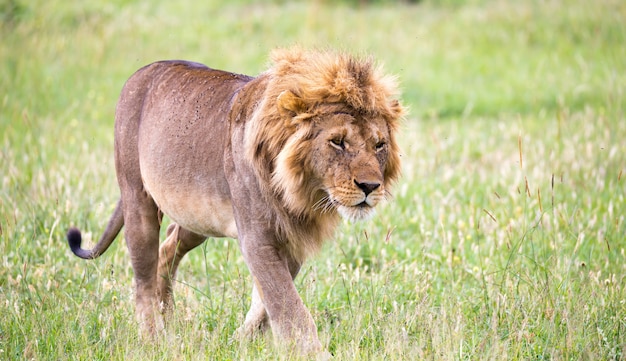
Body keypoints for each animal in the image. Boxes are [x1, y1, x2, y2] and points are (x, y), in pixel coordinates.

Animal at [66, 47, 402, 354]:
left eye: (379, 145)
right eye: (337, 141)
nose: (370, 186)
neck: (303, 191)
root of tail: (144, 70)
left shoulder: (291, 237)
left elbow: (269, 300)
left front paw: (238, 342)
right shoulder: (256, 237)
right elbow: (287, 304)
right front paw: (310, 353)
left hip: (197, 219)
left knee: (168, 247)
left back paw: (170, 319)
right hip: (138, 198)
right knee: (143, 276)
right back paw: (154, 338)